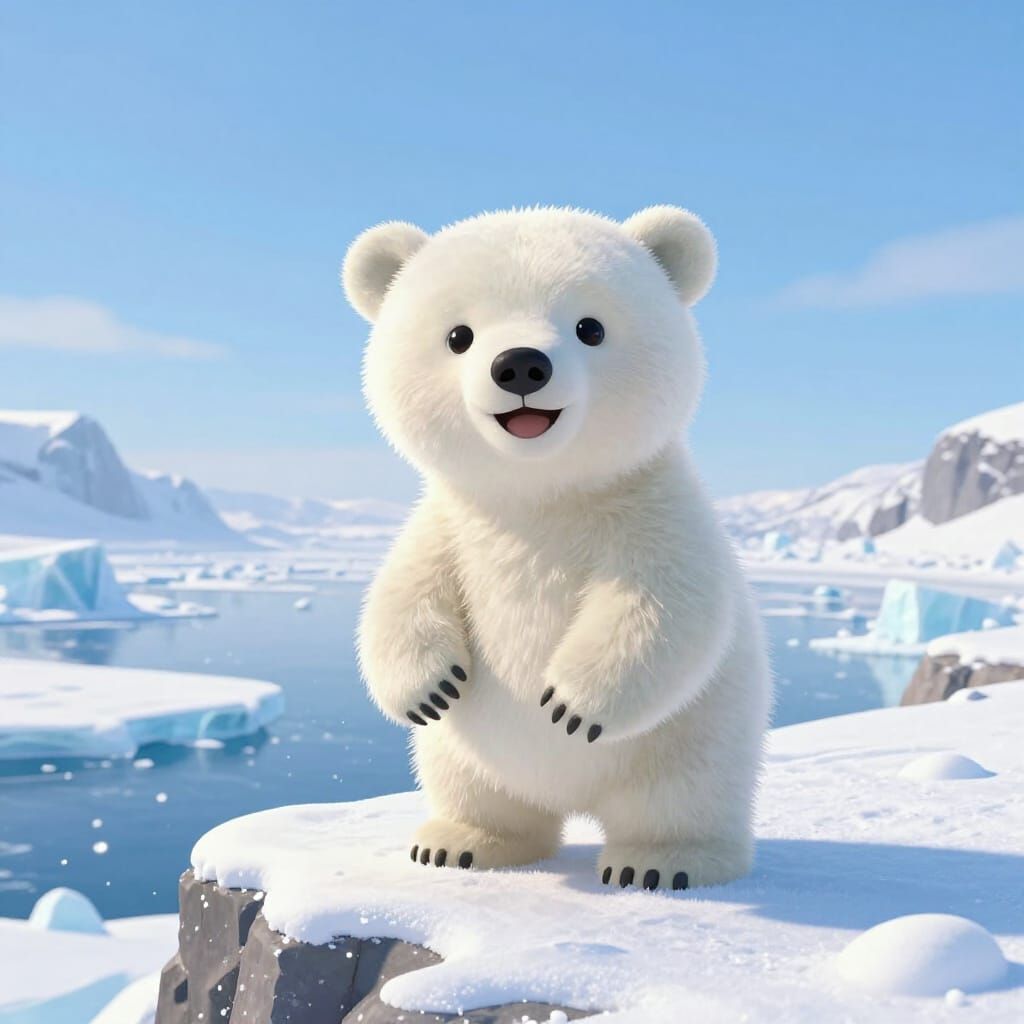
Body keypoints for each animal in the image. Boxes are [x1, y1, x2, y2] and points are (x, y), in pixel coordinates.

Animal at [342, 206, 772, 890]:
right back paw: (459, 843)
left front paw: (570, 703)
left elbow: (667, 607)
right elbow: (404, 589)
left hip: (694, 732)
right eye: (459, 335)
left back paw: (660, 862)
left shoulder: (653, 510)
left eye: (590, 327)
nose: (520, 364)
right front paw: (428, 689)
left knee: (683, 793)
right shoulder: (452, 520)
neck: (541, 494)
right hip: (466, 754)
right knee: (475, 789)